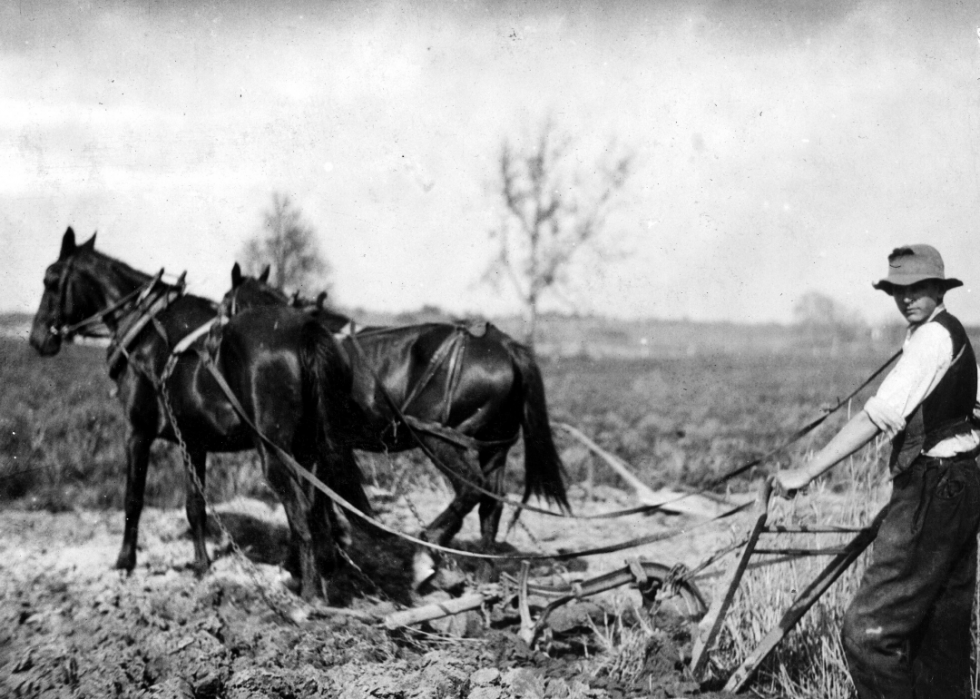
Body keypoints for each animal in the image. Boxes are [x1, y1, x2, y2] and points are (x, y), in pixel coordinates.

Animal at [30, 228, 370, 600]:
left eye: (50, 279)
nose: (36, 338)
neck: (144, 332)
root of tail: (306, 332)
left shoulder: (137, 432)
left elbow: (133, 499)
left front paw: (125, 562)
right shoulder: (193, 441)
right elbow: (196, 506)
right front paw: (202, 565)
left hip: (277, 453)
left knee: (303, 513)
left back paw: (309, 594)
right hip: (310, 449)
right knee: (317, 508)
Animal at [220, 262, 576, 552]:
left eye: (224, 305)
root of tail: (504, 346)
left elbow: (328, 496)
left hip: (442, 440)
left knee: (469, 492)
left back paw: (430, 544)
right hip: (494, 447)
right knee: (490, 509)